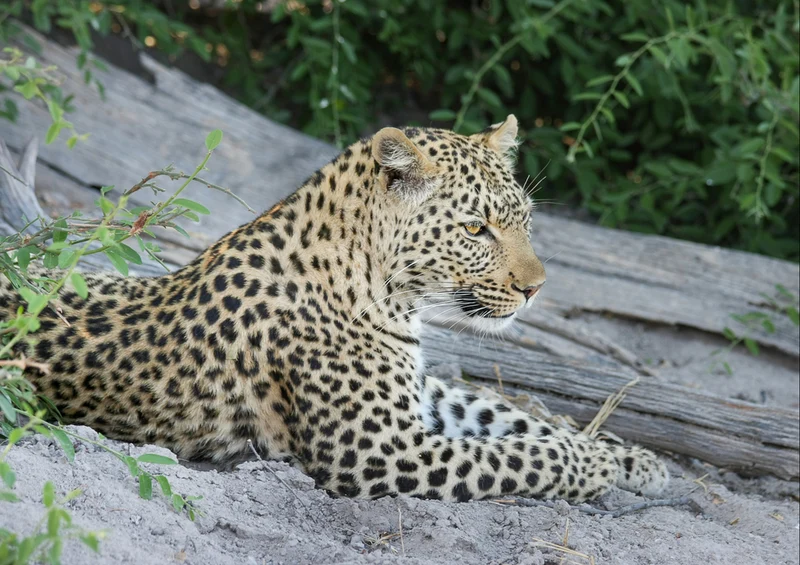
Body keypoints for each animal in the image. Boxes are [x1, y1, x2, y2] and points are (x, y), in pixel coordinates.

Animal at [0, 115, 668, 503]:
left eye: (524, 220)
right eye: (476, 229)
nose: (537, 288)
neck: (389, 293)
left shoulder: (419, 392)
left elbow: (514, 417)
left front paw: (639, 462)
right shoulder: (381, 451)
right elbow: (520, 456)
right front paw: (595, 466)